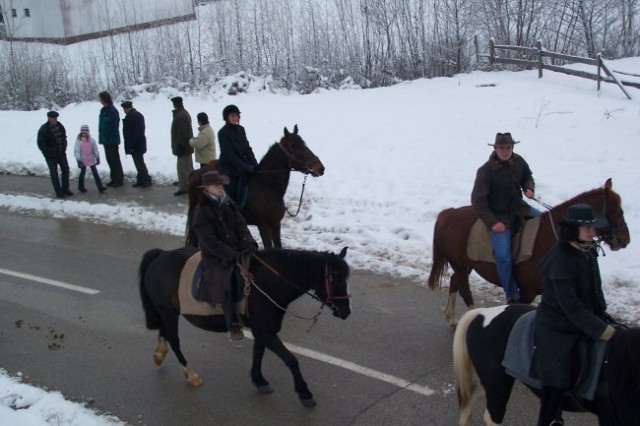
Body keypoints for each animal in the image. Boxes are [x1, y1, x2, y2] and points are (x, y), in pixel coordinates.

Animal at [139, 243, 350, 406]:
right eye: (334, 277)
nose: (345, 312)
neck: (267, 284)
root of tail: (161, 255)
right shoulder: (264, 330)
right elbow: (291, 360)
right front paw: (304, 393)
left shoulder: (262, 330)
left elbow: (258, 353)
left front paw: (259, 380)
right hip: (167, 311)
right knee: (174, 340)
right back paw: (190, 374)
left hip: (167, 312)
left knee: (164, 332)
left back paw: (159, 355)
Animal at [186, 125, 324, 248]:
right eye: (298, 148)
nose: (321, 168)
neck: (266, 187)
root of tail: (196, 173)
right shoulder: (263, 226)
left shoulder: (276, 225)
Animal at [428, 178, 632, 328]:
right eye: (616, 210)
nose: (625, 240)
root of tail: (449, 213)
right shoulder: (527, 292)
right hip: (461, 265)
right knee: (464, 289)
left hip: (465, 265)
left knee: (455, 281)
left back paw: (452, 317)